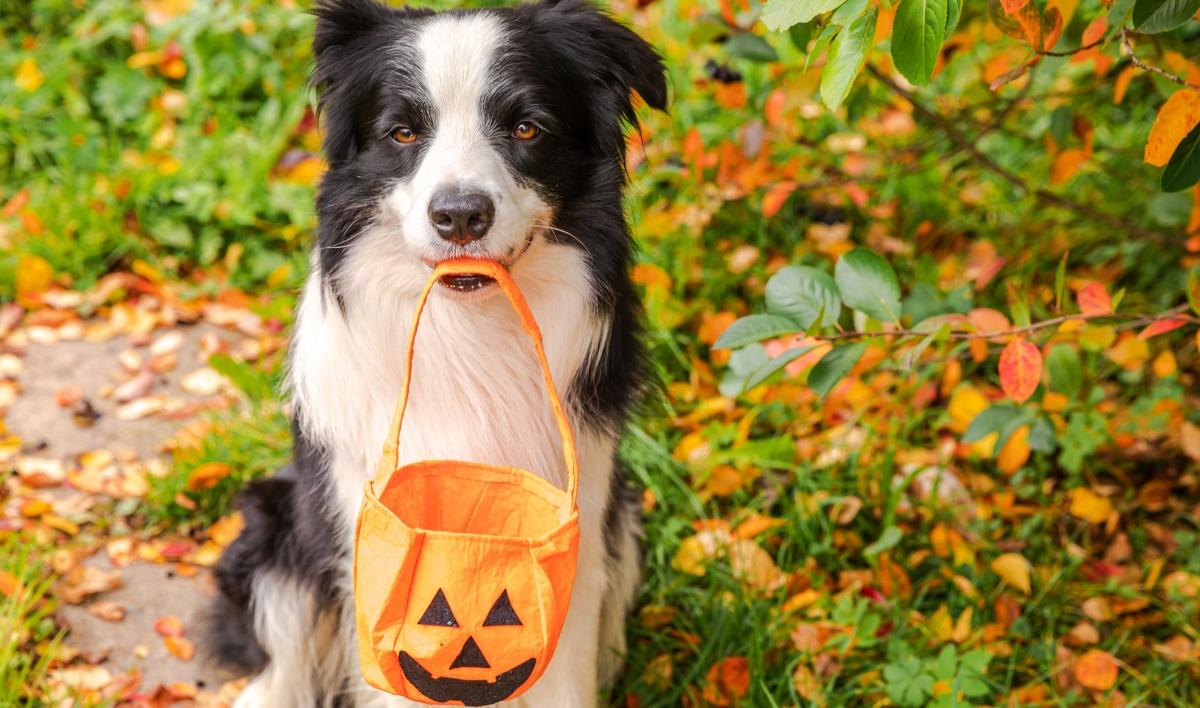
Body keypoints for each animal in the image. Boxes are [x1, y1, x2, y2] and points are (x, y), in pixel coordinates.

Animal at [205, 2, 667, 705]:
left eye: (528, 128)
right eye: (402, 133)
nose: (460, 215)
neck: (467, 332)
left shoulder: (579, 526)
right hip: (275, 525)